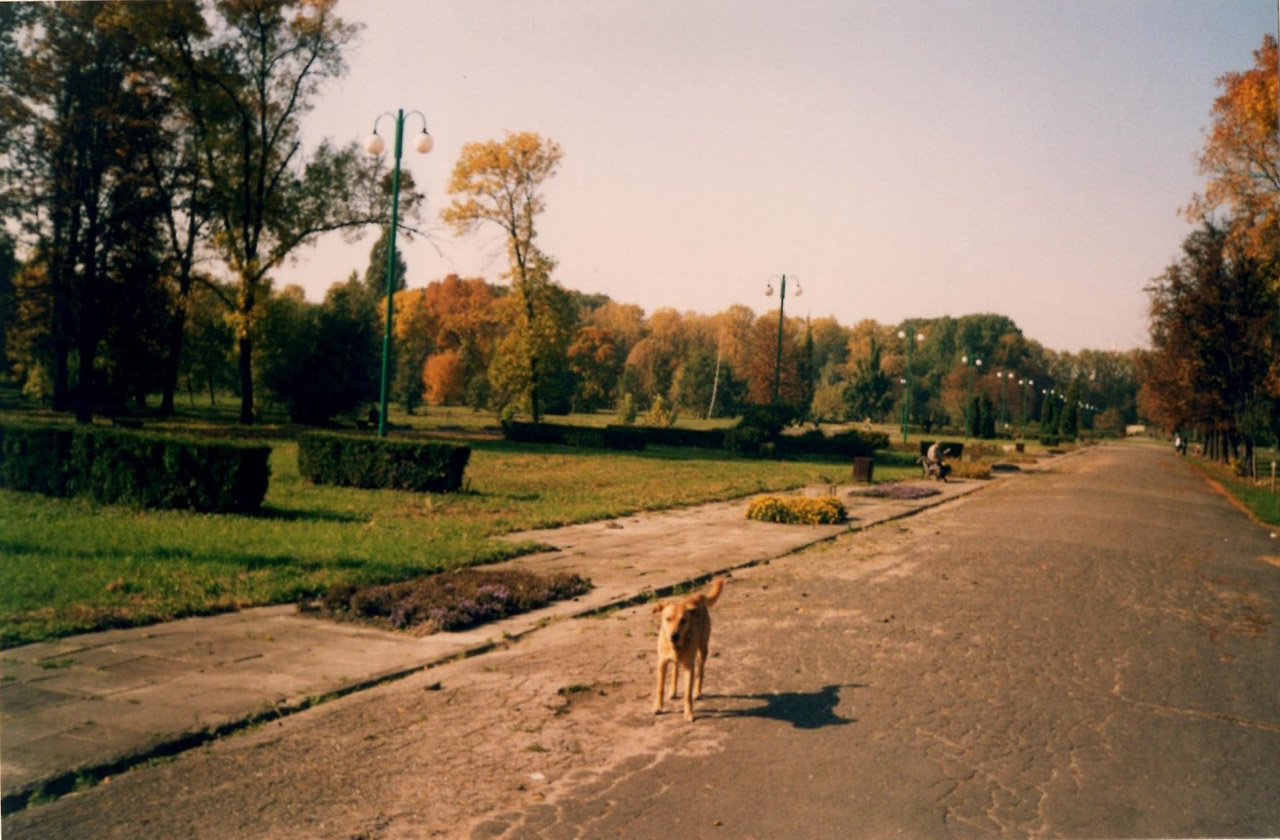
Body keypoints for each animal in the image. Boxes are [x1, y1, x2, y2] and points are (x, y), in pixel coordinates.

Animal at [655, 578, 727, 722]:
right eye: (668, 619)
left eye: (683, 620)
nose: (674, 636)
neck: (676, 646)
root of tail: (697, 596)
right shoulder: (662, 663)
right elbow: (660, 688)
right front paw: (658, 707)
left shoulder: (689, 667)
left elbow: (687, 693)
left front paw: (688, 713)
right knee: (676, 667)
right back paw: (673, 691)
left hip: (702, 650)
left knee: (701, 672)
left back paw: (697, 691)